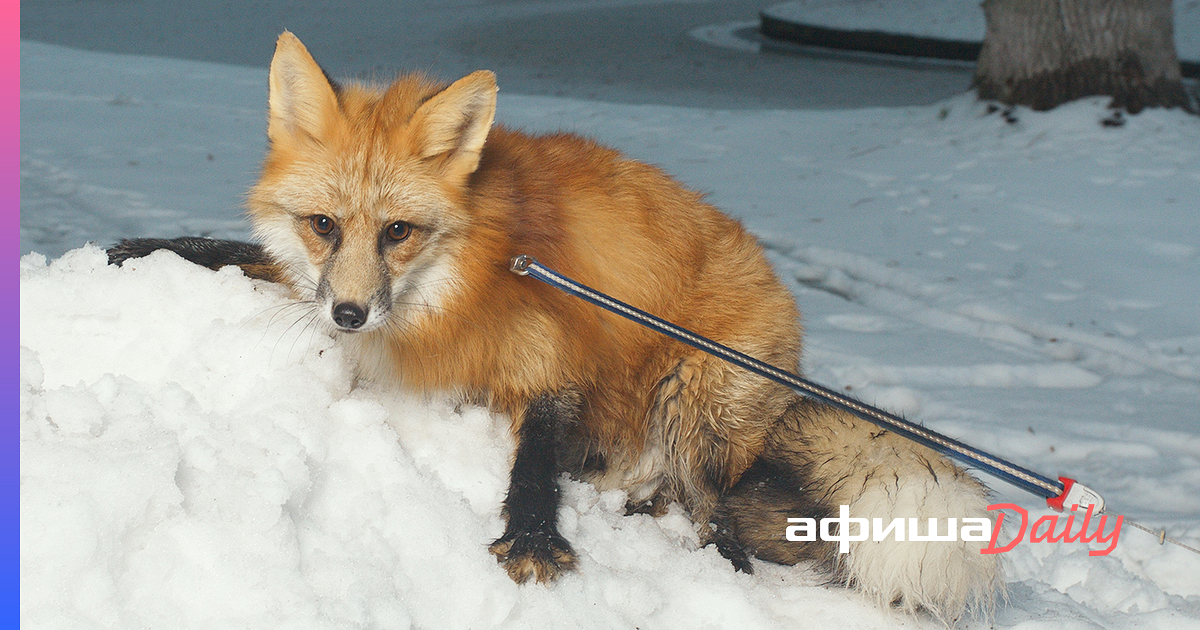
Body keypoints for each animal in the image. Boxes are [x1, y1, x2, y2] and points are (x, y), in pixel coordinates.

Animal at [110, 33, 993, 619]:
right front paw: (152, 247)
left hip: (693, 400)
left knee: (722, 526)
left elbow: (532, 459)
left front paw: (533, 538)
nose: (349, 314)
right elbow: (241, 257)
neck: (462, 279)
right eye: (324, 225)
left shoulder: (554, 356)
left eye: (398, 232)